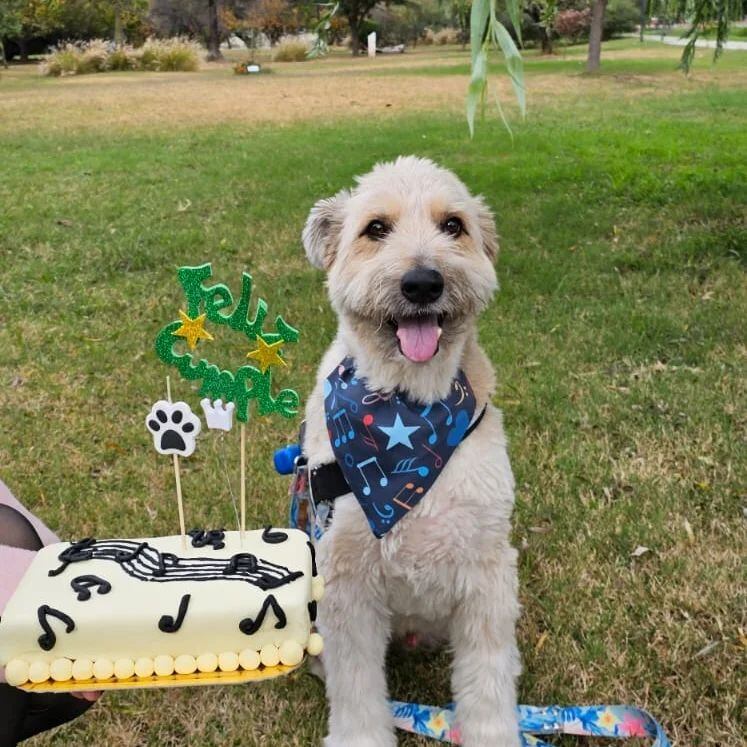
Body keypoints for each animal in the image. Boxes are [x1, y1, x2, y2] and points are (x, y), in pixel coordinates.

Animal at [298, 155, 520, 744]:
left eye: (453, 226)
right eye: (376, 228)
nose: (423, 282)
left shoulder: (487, 572)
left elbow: (487, 680)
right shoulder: (346, 582)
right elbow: (356, 687)